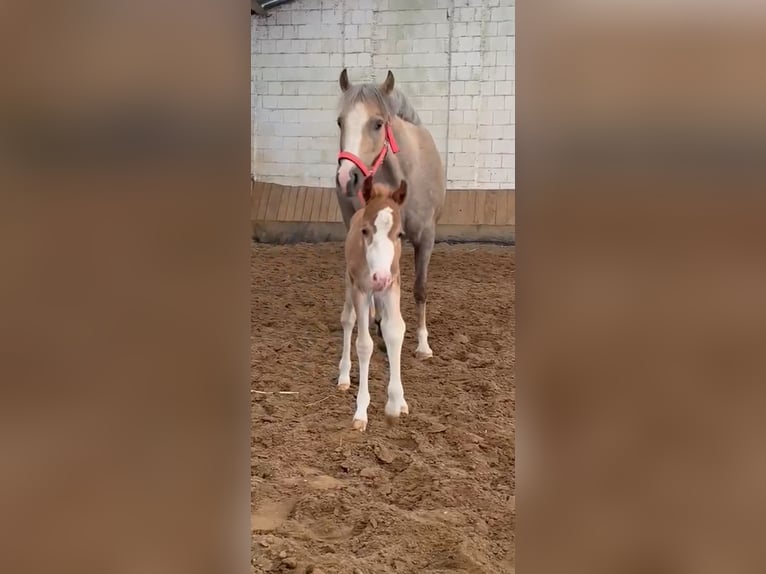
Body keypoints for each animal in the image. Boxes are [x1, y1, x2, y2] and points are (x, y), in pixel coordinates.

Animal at [334, 68, 446, 361]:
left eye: (377, 124)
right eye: (340, 122)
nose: (345, 178)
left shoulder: (425, 240)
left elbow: (420, 289)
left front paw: (423, 344)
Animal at [337, 176, 409, 431]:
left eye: (400, 234)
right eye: (365, 231)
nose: (380, 277)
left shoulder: (392, 285)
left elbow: (395, 331)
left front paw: (396, 403)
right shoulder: (361, 289)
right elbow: (364, 344)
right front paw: (361, 411)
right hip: (350, 284)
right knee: (348, 321)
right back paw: (343, 376)